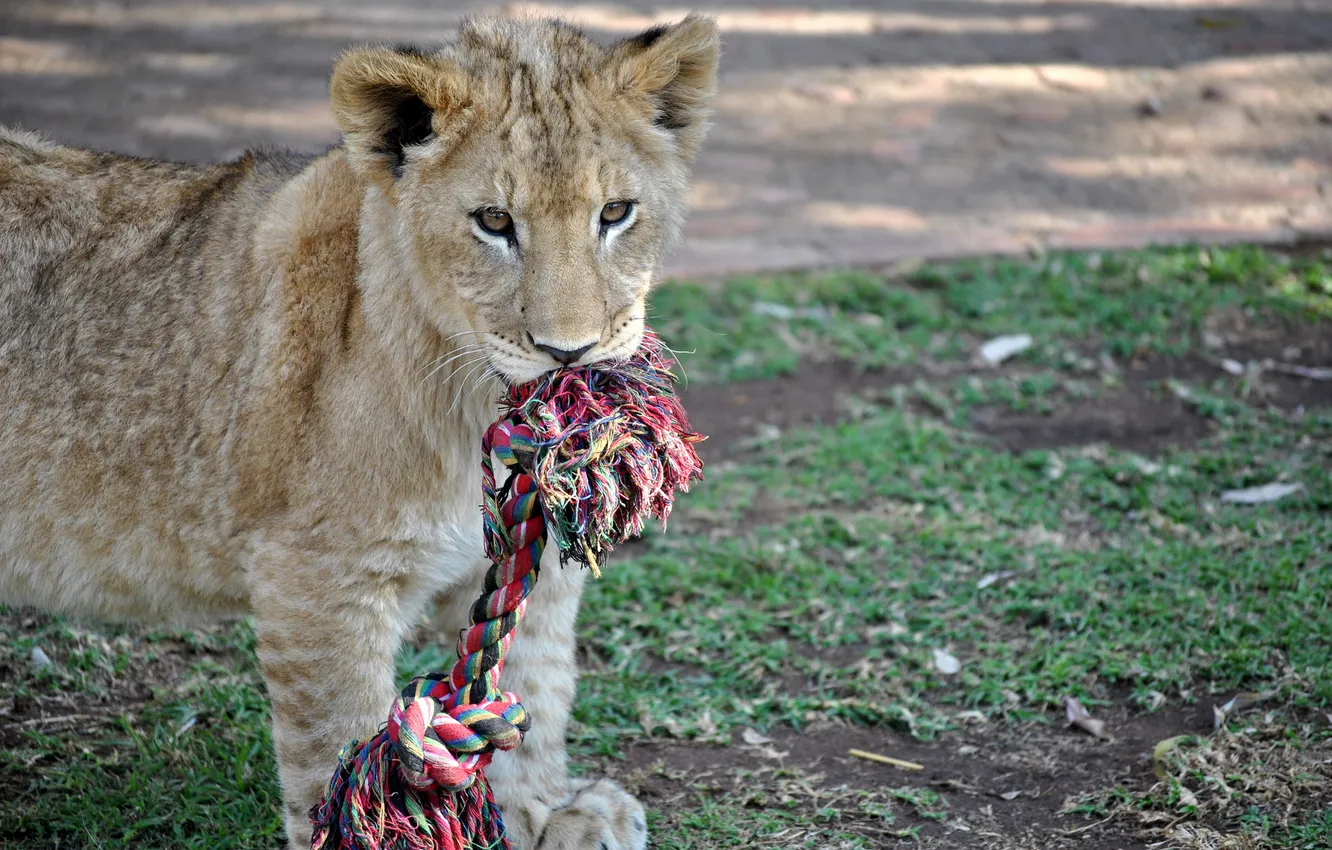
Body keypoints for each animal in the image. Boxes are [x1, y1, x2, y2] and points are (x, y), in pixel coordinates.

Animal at [0, 14, 719, 848]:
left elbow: (536, 681)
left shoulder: (524, 563)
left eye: (615, 214)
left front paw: (545, 813)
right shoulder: (316, 578)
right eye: (495, 223)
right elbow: (341, 749)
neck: (471, 407)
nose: (570, 352)